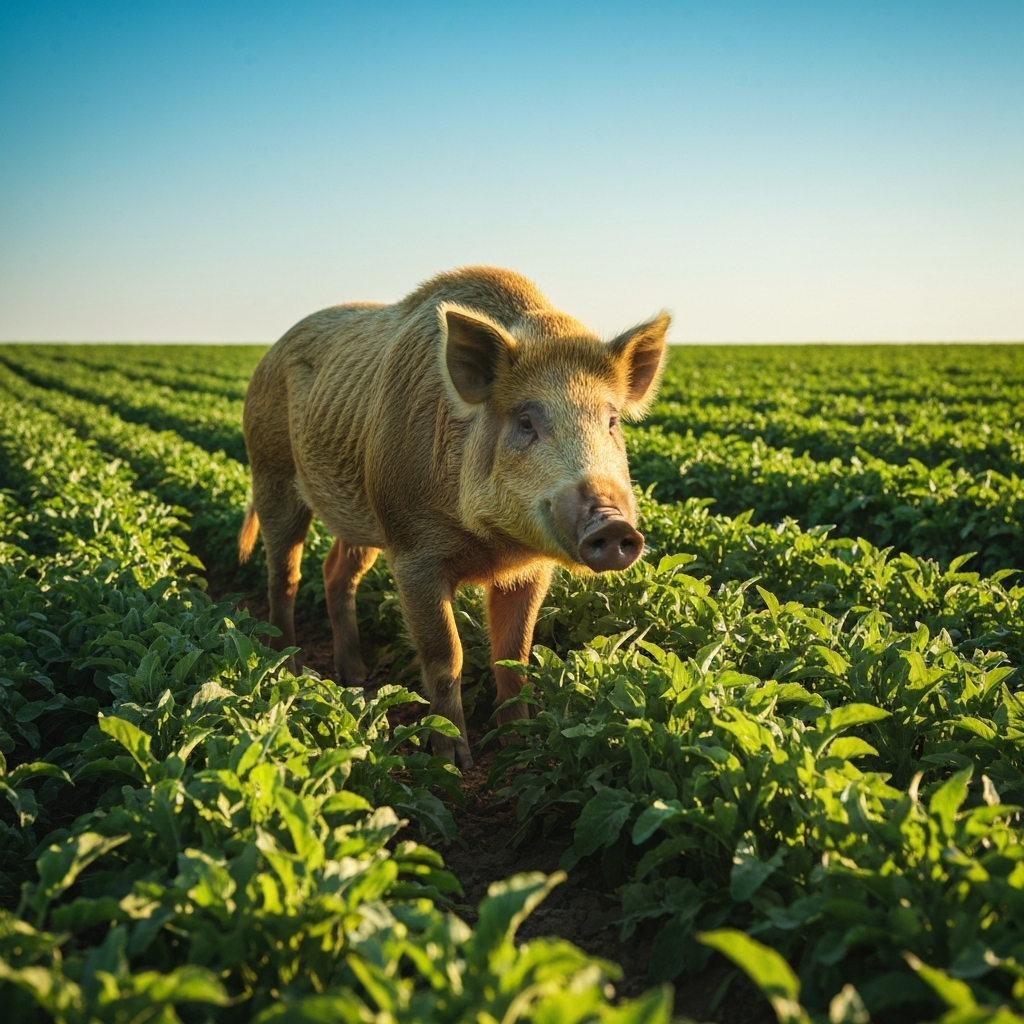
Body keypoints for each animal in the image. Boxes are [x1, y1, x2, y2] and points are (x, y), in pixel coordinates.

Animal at [239, 267, 669, 769]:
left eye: (612, 421)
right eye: (526, 421)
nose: (612, 522)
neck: (494, 546)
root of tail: (271, 351)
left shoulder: (531, 569)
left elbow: (515, 655)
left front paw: (520, 747)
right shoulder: (411, 552)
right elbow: (447, 655)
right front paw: (453, 761)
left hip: (364, 514)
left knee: (336, 572)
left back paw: (356, 677)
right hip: (270, 469)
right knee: (283, 574)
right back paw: (285, 671)